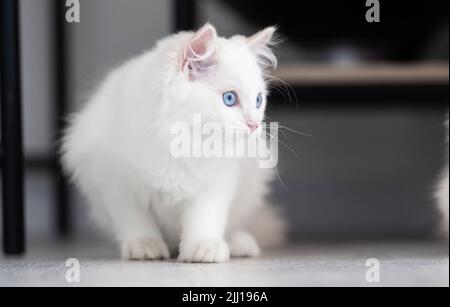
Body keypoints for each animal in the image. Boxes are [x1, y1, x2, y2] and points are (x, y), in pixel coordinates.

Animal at [60, 24, 284, 264]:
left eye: (259, 100)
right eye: (230, 99)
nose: (254, 125)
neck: (180, 142)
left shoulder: (215, 183)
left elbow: (204, 219)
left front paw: (203, 248)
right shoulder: (117, 184)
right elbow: (135, 221)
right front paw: (145, 246)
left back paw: (237, 243)